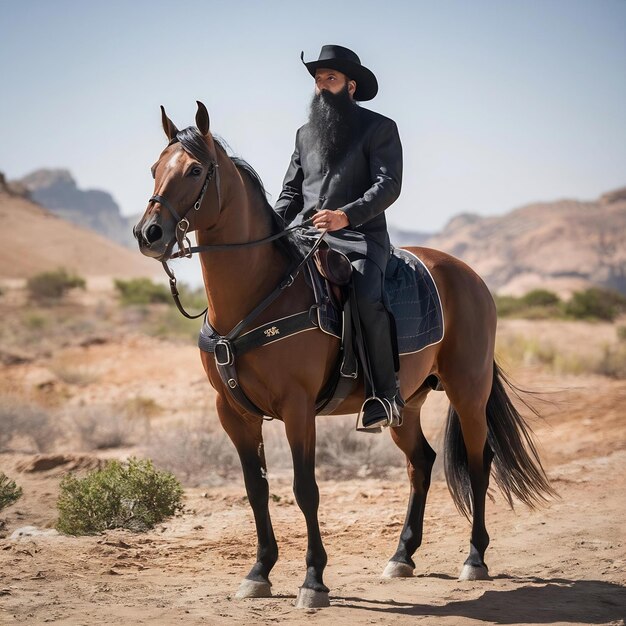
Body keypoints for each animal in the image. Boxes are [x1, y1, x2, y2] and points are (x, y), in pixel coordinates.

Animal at [133, 101, 552, 604]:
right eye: (155, 168)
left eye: (195, 170)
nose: (149, 233)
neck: (261, 292)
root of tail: (469, 276)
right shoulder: (234, 412)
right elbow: (256, 489)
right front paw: (259, 571)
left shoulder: (297, 409)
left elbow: (305, 489)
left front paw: (313, 579)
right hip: (405, 403)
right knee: (421, 462)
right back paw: (402, 556)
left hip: (468, 391)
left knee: (477, 461)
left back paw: (474, 558)